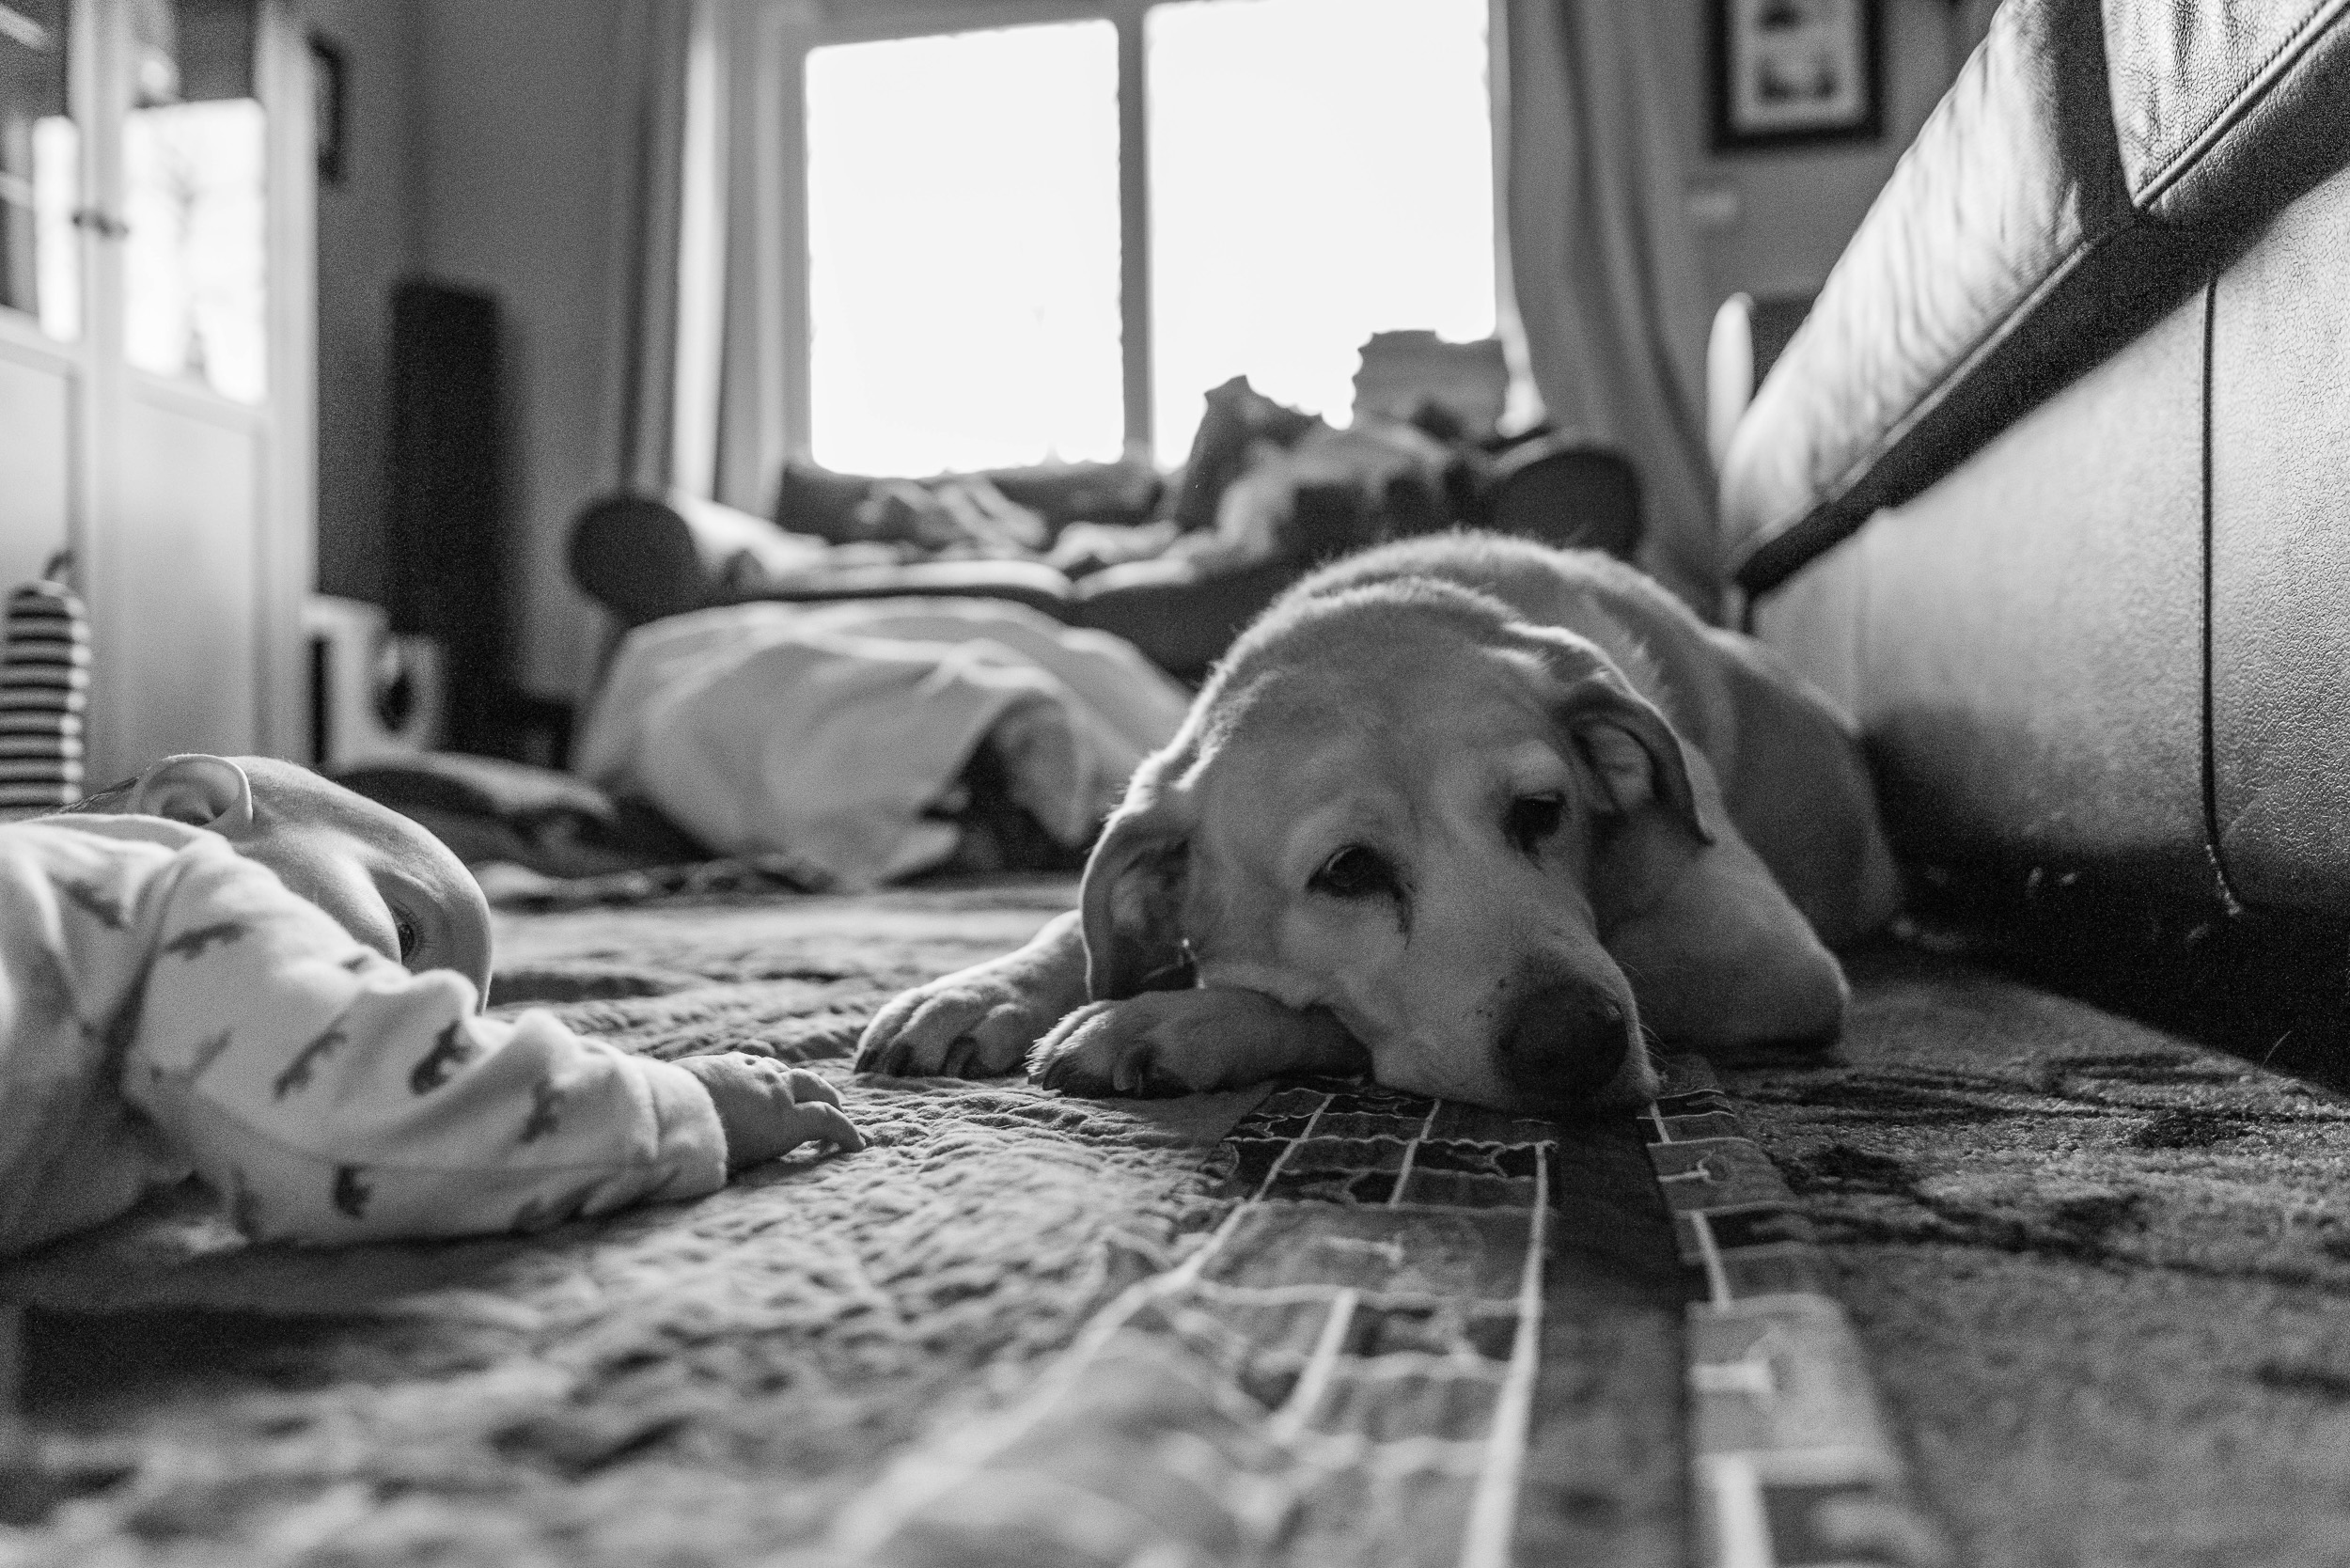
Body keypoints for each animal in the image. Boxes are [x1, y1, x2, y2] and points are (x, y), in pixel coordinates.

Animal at [855, 541, 1899, 1114]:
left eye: (1543, 812)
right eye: (1348, 873)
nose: (1576, 1041)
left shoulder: (1772, 958)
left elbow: (1320, 1013)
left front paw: (1174, 1019)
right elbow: (1075, 927)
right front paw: (984, 989)